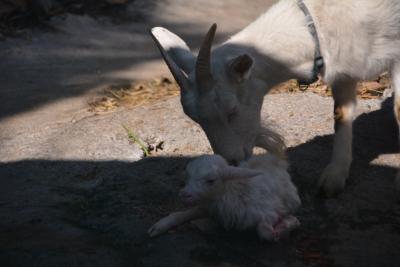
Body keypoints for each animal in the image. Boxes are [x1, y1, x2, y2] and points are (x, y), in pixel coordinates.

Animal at [150, 0, 400, 197]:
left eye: (232, 110)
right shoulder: (344, 70)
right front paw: (334, 177)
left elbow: (398, 108)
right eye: (195, 119)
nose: (231, 161)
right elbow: (341, 114)